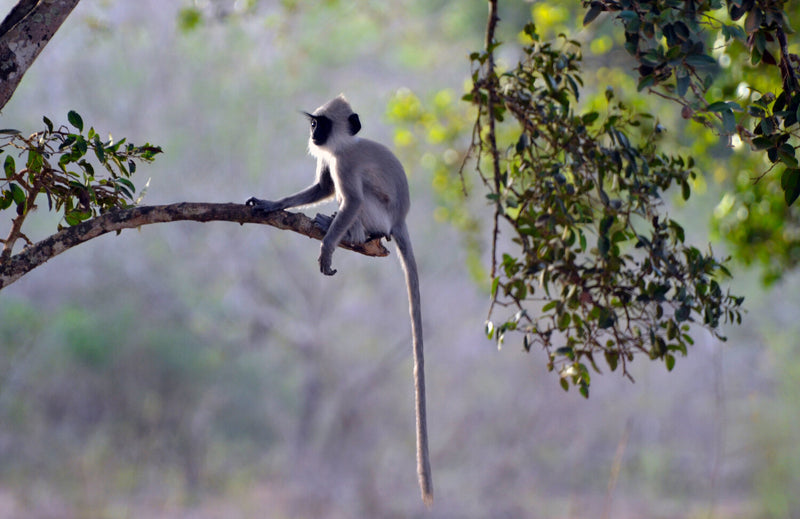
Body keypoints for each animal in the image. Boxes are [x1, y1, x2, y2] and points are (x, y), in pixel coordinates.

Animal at [245, 95, 434, 506]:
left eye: (323, 124)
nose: (313, 133)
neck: (345, 145)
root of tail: (400, 220)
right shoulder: (330, 160)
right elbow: (321, 186)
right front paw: (271, 203)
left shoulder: (345, 163)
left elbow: (349, 197)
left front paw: (328, 248)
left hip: (379, 214)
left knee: (358, 201)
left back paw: (350, 232)